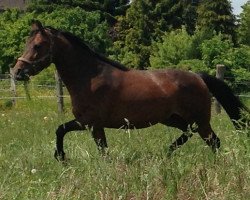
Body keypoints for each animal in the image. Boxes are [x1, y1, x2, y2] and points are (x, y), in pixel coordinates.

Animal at [12, 20, 250, 161]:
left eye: (37, 46)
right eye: (27, 43)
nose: (17, 71)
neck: (89, 78)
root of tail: (198, 77)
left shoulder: (91, 123)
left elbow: (95, 147)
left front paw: (61, 156)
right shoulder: (88, 124)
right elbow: (61, 130)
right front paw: (60, 156)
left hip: (199, 121)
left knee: (214, 141)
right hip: (174, 119)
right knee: (189, 135)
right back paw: (167, 152)